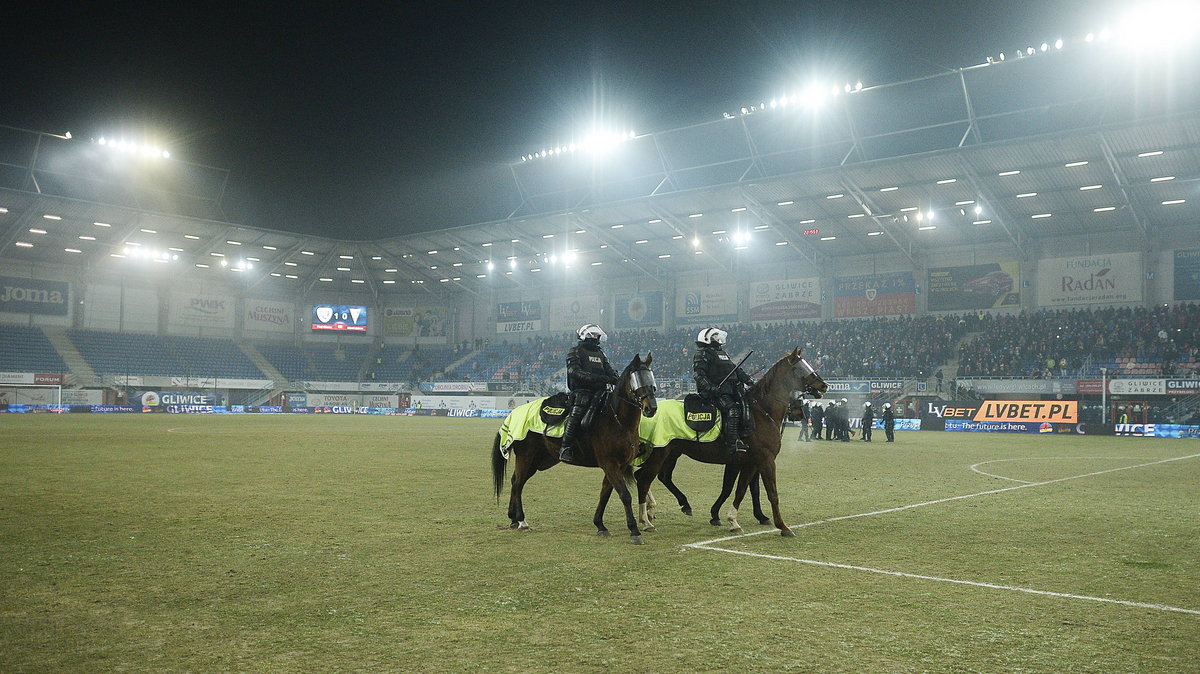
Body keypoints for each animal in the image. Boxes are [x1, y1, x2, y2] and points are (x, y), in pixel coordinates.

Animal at [487, 354, 657, 542]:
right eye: (637, 379)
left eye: (651, 378)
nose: (651, 408)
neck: (617, 421)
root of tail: (514, 413)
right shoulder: (610, 464)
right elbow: (624, 495)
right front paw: (634, 531)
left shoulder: (617, 466)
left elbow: (605, 494)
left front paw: (600, 525)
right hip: (526, 456)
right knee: (517, 484)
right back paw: (522, 521)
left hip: (536, 460)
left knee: (516, 481)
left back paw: (513, 519)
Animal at [619, 345, 825, 534]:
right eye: (801, 367)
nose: (823, 385)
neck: (760, 412)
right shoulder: (765, 461)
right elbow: (771, 493)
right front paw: (783, 527)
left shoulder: (748, 463)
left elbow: (740, 489)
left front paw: (732, 520)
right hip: (659, 455)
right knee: (644, 479)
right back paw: (647, 519)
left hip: (670, 454)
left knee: (654, 477)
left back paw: (669, 508)